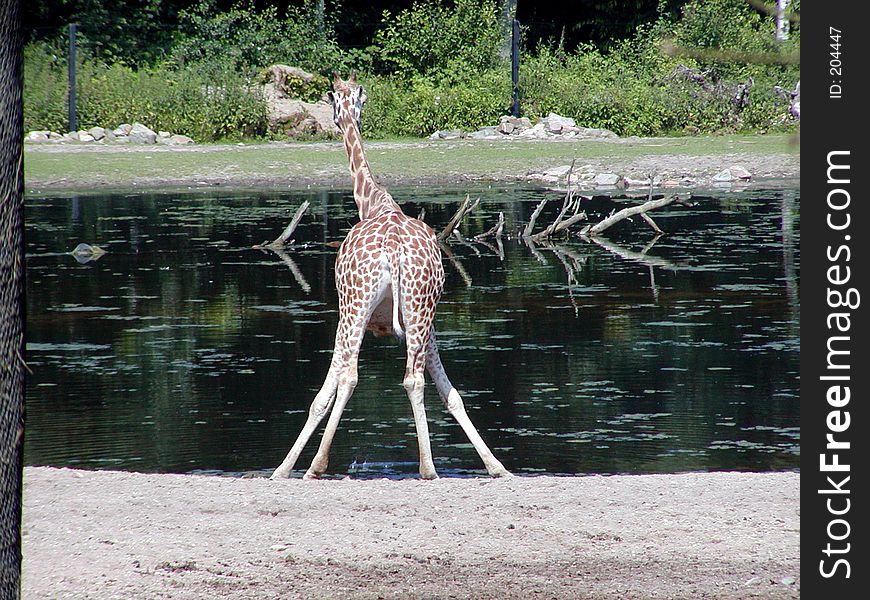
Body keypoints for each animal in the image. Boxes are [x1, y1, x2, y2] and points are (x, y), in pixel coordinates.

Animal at [272, 72, 510, 480]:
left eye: (334, 102)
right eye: (345, 101)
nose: (340, 120)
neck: (373, 203)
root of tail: (395, 250)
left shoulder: (345, 311)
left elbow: (325, 392)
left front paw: (288, 468)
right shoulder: (426, 327)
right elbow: (452, 394)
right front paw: (495, 466)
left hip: (356, 303)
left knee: (354, 376)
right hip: (420, 307)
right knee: (416, 378)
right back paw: (439, 466)